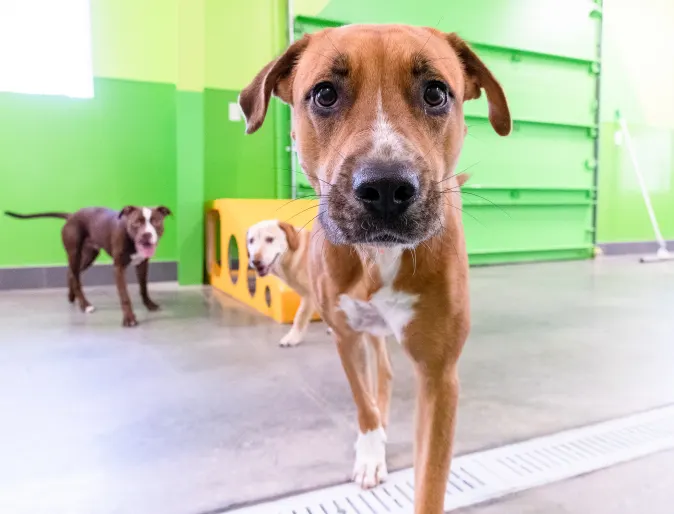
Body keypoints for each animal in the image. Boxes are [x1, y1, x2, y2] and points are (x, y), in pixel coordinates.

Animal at [3, 204, 171, 324]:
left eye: (156, 221)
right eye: (136, 222)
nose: (146, 235)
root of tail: (71, 215)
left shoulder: (143, 264)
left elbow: (144, 287)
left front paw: (149, 304)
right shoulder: (118, 268)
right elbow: (125, 296)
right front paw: (129, 318)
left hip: (89, 256)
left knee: (72, 273)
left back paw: (72, 297)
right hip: (74, 253)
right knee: (75, 277)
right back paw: (85, 305)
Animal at [244, 218, 312, 346]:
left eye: (270, 239)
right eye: (251, 240)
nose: (255, 261)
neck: (292, 255)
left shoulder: (310, 295)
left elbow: (300, 316)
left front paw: (293, 337)